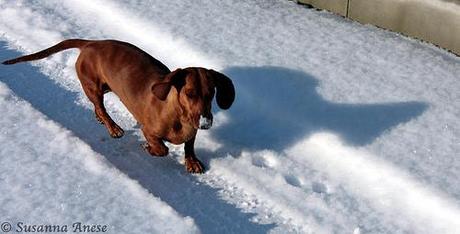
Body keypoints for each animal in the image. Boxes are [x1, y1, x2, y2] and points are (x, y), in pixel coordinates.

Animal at [1, 39, 235, 173]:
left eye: (211, 93)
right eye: (189, 93)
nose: (205, 123)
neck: (178, 117)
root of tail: (92, 43)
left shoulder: (191, 133)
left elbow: (189, 145)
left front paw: (192, 161)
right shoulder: (149, 131)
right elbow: (162, 149)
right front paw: (149, 148)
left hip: (104, 87)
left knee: (98, 109)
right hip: (93, 87)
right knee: (101, 108)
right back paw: (113, 127)